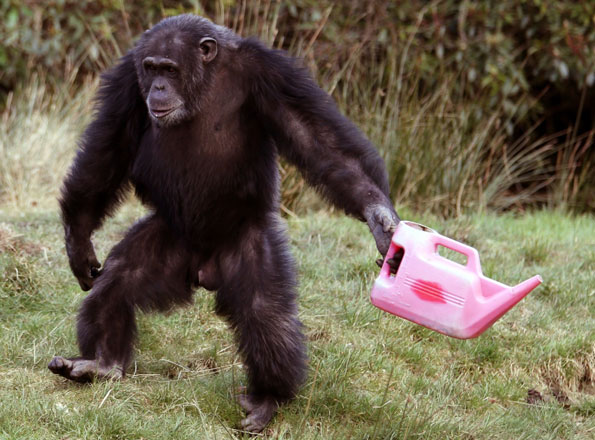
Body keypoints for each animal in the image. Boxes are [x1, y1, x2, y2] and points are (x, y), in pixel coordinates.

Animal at [46, 14, 400, 434]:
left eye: (170, 69)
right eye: (151, 68)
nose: (159, 87)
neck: (206, 81)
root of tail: (202, 269)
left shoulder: (271, 74)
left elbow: (316, 139)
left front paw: (378, 214)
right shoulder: (126, 82)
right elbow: (109, 147)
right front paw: (78, 239)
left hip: (247, 242)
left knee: (265, 312)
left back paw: (267, 398)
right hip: (168, 239)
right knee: (116, 283)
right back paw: (101, 363)